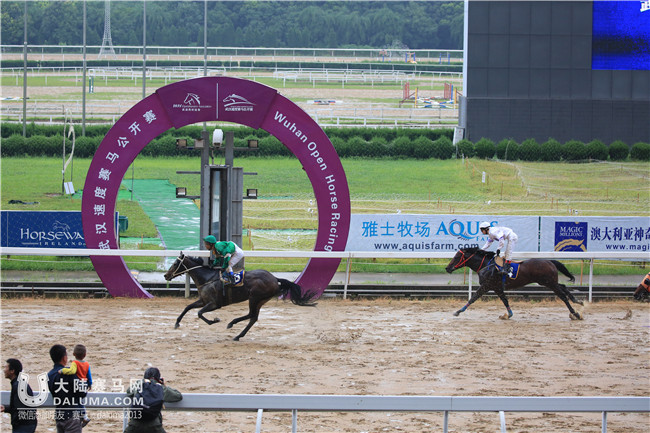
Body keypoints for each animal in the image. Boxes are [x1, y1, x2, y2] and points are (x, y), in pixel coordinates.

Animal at [163, 253, 317, 340]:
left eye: (175, 263)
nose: (166, 275)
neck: (207, 278)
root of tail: (275, 278)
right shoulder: (203, 301)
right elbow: (188, 307)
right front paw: (177, 323)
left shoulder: (214, 304)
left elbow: (199, 313)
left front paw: (214, 320)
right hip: (260, 300)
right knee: (253, 317)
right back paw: (238, 335)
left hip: (254, 298)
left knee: (251, 315)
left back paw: (232, 324)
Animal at [445, 247, 584, 320]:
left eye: (456, 257)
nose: (447, 268)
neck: (487, 265)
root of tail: (550, 261)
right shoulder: (496, 287)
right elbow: (505, 300)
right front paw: (508, 314)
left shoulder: (486, 285)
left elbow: (473, 298)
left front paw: (458, 311)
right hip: (549, 282)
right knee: (563, 287)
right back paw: (578, 301)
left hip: (549, 283)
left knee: (562, 296)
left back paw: (575, 313)